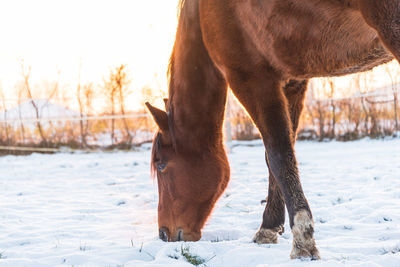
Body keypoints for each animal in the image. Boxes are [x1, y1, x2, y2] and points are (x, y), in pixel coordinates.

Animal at [146, 0, 400, 260]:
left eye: (161, 165)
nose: (163, 233)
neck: (201, 14)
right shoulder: (293, 82)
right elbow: (282, 156)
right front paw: (270, 226)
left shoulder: (252, 79)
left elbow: (278, 156)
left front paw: (302, 241)